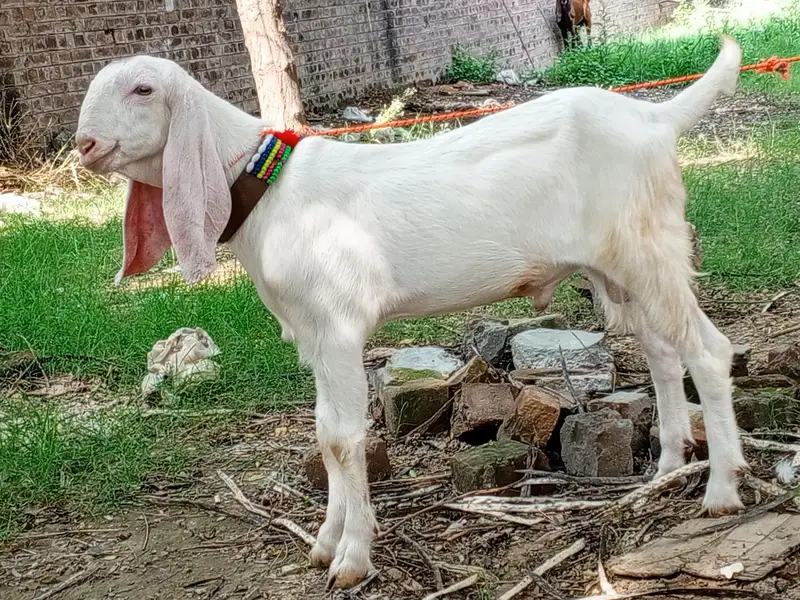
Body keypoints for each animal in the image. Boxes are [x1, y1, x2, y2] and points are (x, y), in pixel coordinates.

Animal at [75, 35, 747, 589]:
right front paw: (325, 542)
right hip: (618, 269)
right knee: (663, 352)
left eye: (143, 89)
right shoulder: (314, 336)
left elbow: (343, 438)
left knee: (709, 350)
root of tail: (656, 118)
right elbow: (324, 434)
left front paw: (352, 558)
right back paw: (666, 469)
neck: (269, 192)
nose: (84, 146)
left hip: (649, 248)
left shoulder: (340, 326)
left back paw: (721, 490)